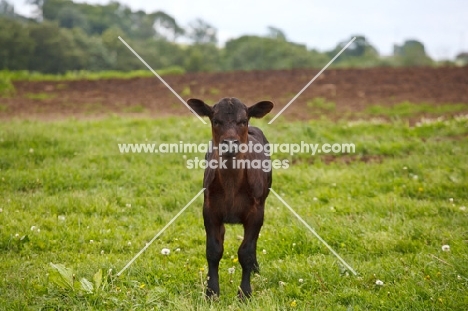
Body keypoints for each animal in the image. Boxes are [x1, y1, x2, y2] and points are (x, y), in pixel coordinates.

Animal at [187, 98, 274, 300]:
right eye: (215, 120)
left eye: (243, 120)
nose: (230, 143)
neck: (231, 184)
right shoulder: (209, 210)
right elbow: (213, 250)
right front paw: (211, 292)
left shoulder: (256, 212)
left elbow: (246, 252)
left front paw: (245, 294)